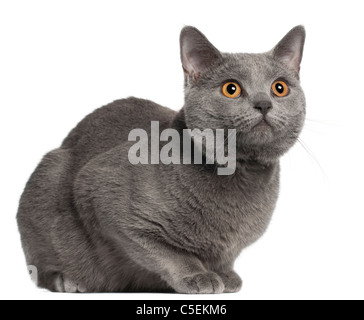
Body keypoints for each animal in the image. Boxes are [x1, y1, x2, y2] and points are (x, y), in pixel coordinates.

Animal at [17, 26, 308, 294]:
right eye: (231, 89)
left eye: (279, 88)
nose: (264, 103)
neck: (241, 173)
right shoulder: (99, 192)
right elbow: (167, 253)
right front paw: (197, 275)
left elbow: (224, 258)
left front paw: (225, 275)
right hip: (51, 174)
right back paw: (68, 280)